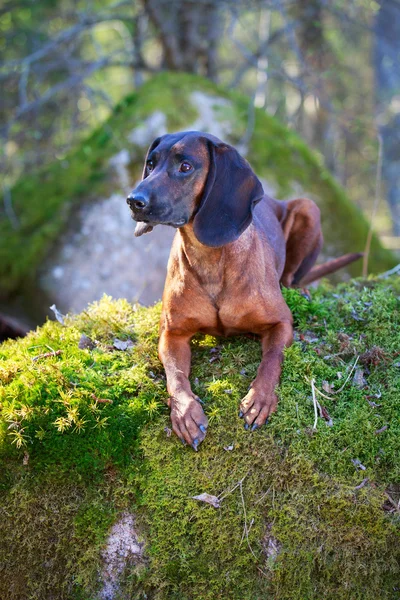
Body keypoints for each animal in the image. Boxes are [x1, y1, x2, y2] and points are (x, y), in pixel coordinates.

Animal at [126, 132, 360, 450]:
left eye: (185, 166)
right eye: (150, 164)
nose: (133, 200)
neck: (210, 258)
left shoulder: (281, 323)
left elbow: (272, 360)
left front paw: (259, 400)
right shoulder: (172, 334)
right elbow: (175, 375)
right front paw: (185, 412)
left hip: (308, 208)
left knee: (292, 277)